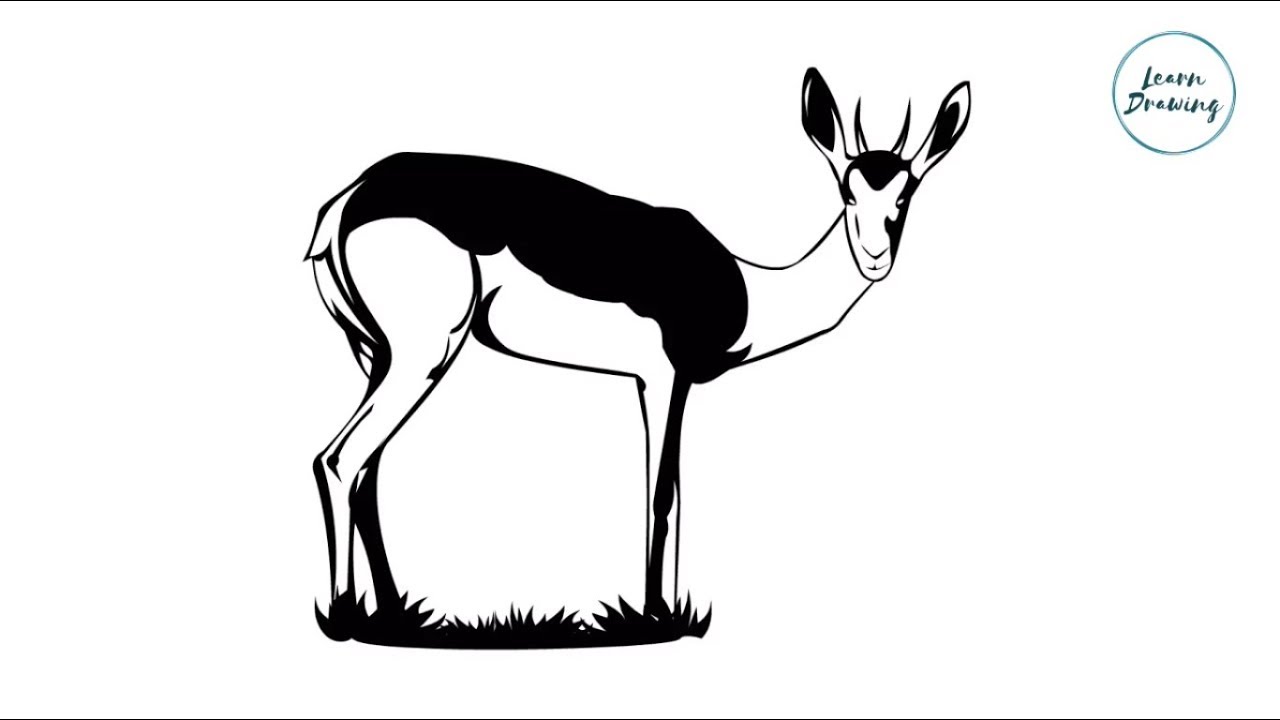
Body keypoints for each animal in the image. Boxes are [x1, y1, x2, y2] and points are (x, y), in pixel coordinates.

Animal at [306, 68, 971, 641]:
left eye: (905, 194)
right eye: (847, 190)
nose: (875, 257)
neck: (747, 288)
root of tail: (347, 201)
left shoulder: (664, 382)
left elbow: (672, 487)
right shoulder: (664, 376)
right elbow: (662, 492)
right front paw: (655, 618)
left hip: (374, 353)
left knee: (368, 469)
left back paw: (396, 613)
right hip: (425, 350)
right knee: (338, 460)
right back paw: (345, 617)